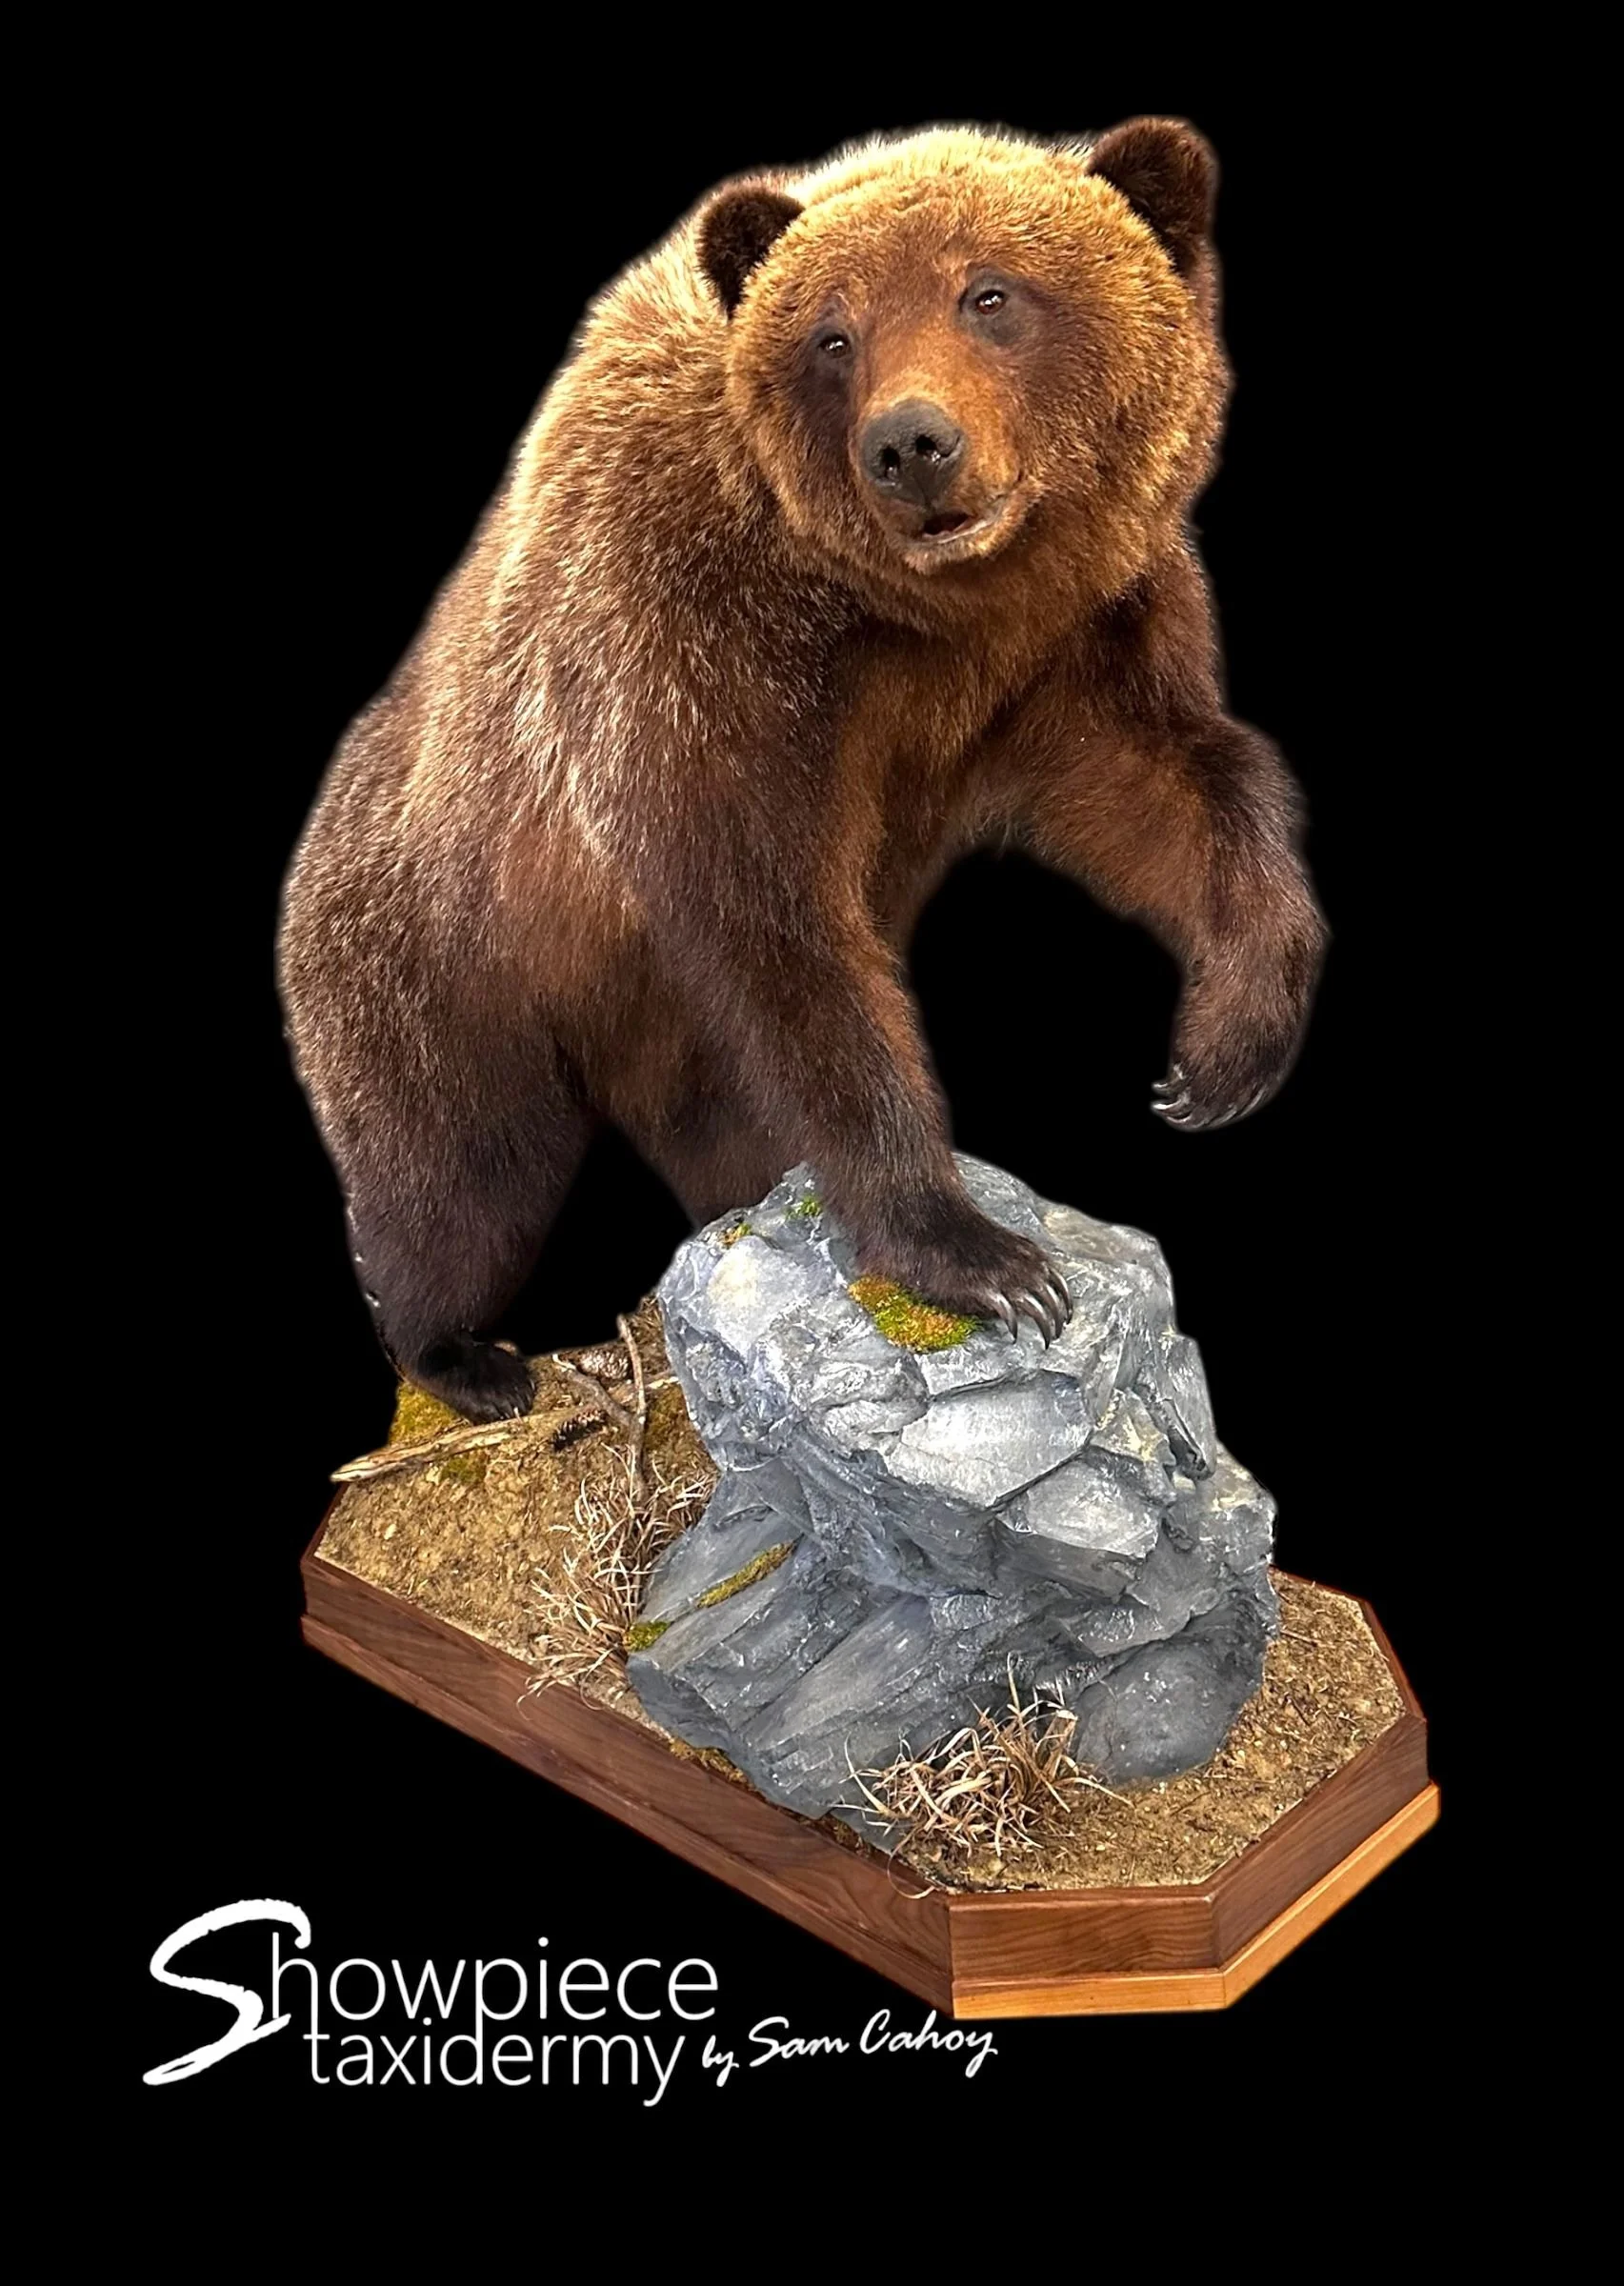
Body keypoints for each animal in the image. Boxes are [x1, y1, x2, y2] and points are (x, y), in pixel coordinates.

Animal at [278, 118, 1325, 1424]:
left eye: (989, 292)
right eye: (833, 334)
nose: (910, 444)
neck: (908, 613)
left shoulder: (1071, 640)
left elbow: (1166, 789)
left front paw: (1221, 1052)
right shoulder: (686, 655)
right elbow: (782, 938)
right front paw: (980, 1256)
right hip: (440, 955)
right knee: (462, 1172)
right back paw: (467, 1357)